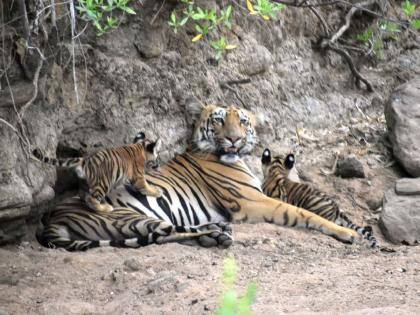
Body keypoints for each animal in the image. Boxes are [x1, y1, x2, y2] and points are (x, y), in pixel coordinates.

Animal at [37, 103, 366, 252]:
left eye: (242, 121)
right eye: (219, 120)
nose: (234, 139)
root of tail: (51, 218)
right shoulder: (251, 202)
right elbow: (302, 213)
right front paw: (347, 232)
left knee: (167, 233)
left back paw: (215, 233)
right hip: (127, 216)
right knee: (166, 232)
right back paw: (216, 233)